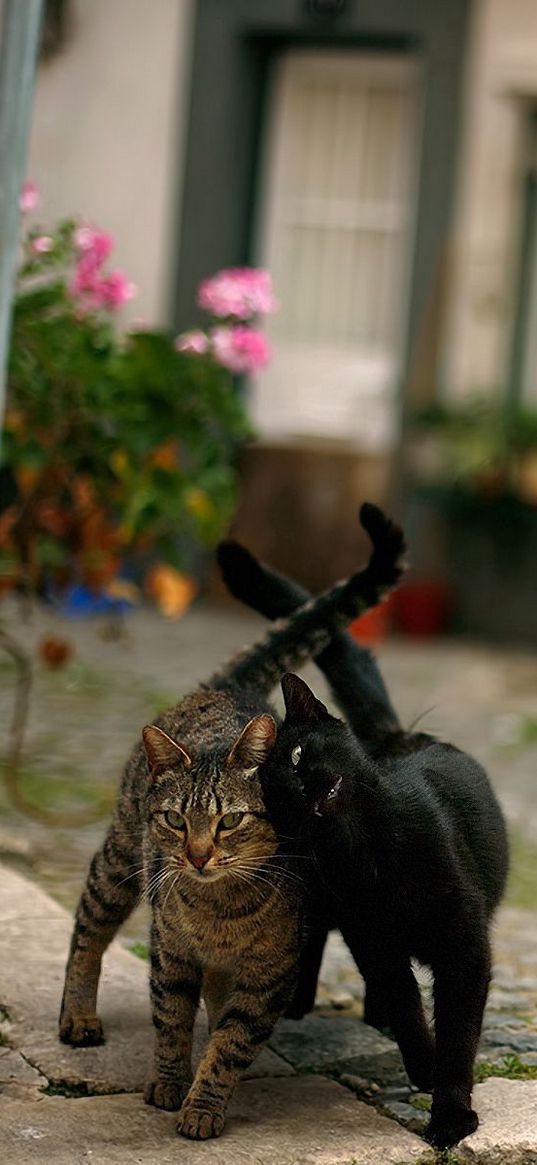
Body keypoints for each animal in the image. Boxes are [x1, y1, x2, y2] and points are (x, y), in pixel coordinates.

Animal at [59, 500, 400, 1137]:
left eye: (229, 822)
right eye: (175, 819)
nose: (196, 855)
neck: (221, 913)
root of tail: (228, 689)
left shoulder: (270, 975)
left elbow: (230, 1042)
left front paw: (203, 1103)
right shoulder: (170, 952)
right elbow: (171, 1020)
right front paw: (170, 1084)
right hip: (119, 860)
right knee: (88, 928)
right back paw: (77, 1015)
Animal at [216, 535, 505, 1146]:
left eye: (299, 754)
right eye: (272, 792)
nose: (303, 787)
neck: (369, 854)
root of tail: (396, 736)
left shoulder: (464, 948)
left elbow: (459, 1032)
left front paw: (450, 1116)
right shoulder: (373, 940)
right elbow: (408, 1006)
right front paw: (422, 1065)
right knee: (313, 942)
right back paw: (305, 1004)